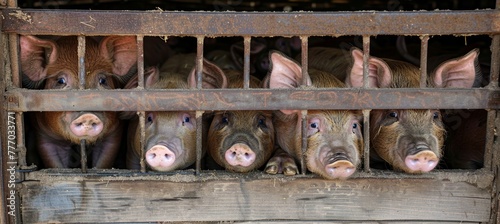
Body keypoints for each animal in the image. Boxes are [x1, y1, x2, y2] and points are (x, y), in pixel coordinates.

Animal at [21, 35, 138, 168]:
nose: (88, 116)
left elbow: (104, 161)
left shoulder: (115, 131)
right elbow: (55, 163)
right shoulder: (43, 134)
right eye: (60, 81)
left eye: (103, 81)